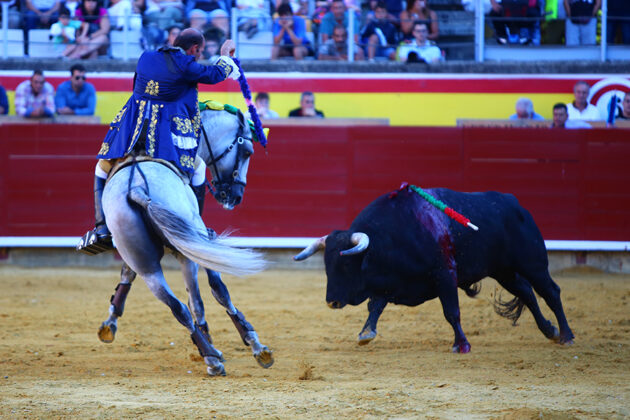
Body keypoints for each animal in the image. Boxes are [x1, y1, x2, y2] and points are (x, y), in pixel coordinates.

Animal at [97, 108, 274, 378]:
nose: (236, 196)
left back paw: (210, 354)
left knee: (177, 306)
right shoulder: (196, 242)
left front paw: (110, 322)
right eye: (247, 152)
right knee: (195, 303)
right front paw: (252, 342)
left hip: (145, 262)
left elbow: (128, 274)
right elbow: (217, 290)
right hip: (185, 252)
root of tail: (137, 187)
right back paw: (216, 355)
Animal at [294, 185, 576, 352]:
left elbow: (451, 312)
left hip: (532, 262)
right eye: (326, 265)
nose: (331, 301)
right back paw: (549, 330)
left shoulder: (444, 274)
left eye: (345, 263)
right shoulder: (392, 281)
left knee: (551, 292)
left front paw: (461, 345)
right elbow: (375, 306)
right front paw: (366, 333)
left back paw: (566, 335)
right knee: (527, 292)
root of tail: (516, 204)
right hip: (503, 270)